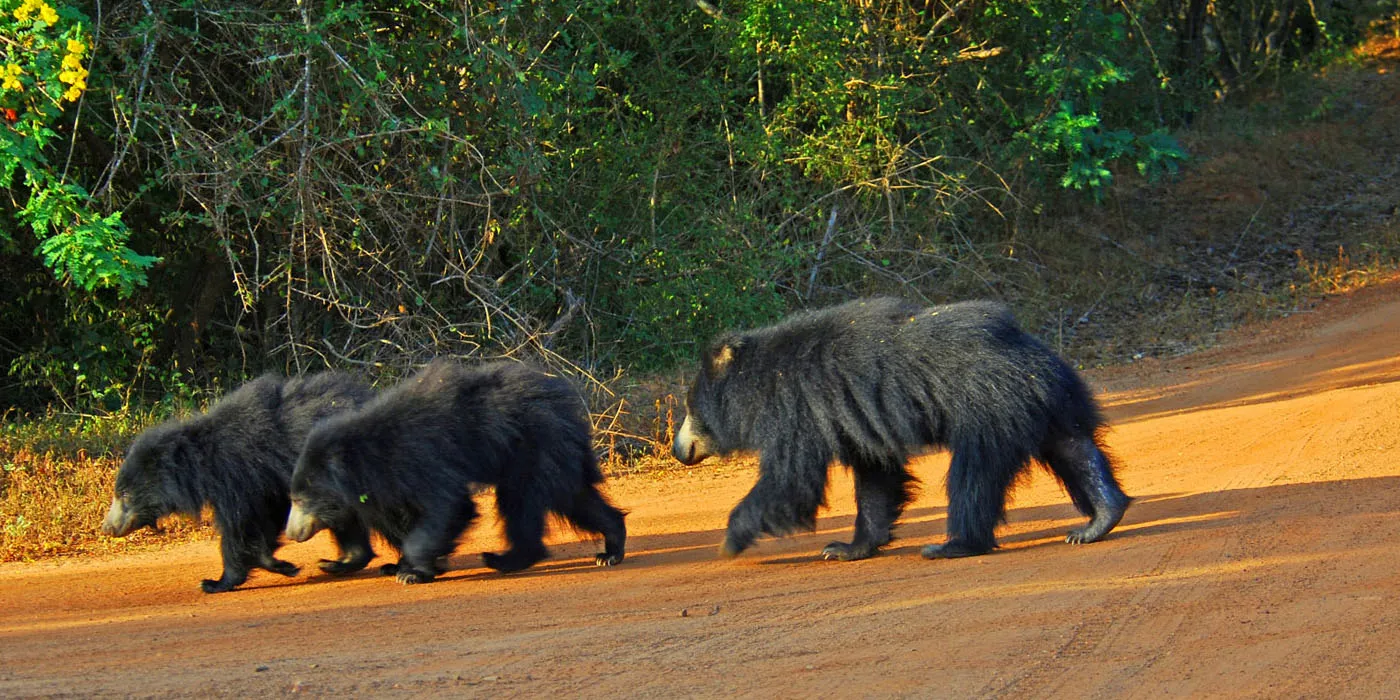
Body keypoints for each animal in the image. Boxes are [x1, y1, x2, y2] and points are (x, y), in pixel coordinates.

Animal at [100, 372, 378, 593]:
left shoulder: (238, 476)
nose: (107, 528)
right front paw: (281, 565)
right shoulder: (265, 484)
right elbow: (266, 520)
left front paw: (215, 582)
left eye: (124, 495)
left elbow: (240, 526)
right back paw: (338, 563)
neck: (201, 461)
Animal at [284, 359, 627, 585]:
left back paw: (504, 559)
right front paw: (394, 566)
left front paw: (412, 573)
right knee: (574, 496)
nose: (291, 533)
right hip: (551, 451)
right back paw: (610, 548)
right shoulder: (390, 483)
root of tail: (566, 404)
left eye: (300, 500)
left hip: (534, 447)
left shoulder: (422, 460)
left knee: (522, 502)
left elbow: (449, 507)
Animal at [671, 297, 1131, 561]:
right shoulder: (852, 420)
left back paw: (952, 545)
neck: (760, 380)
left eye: (691, 411)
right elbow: (876, 478)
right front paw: (845, 549)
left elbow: (790, 481)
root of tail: (1028, 351)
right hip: (1048, 401)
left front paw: (730, 541)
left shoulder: (797, 411)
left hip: (988, 407)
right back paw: (1098, 520)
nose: (678, 450)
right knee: (1074, 447)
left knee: (974, 475)